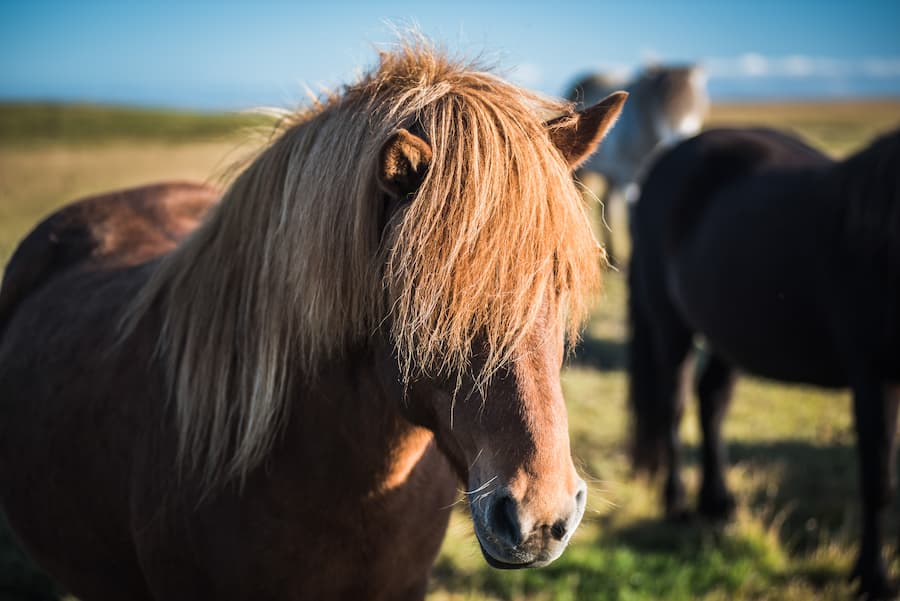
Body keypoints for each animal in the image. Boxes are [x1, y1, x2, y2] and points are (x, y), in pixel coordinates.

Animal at [566, 65, 709, 266]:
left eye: (695, 103)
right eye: (662, 102)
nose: (680, 142)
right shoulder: (629, 177)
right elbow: (631, 219)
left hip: (612, 175)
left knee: (608, 206)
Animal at [628, 126, 900, 599]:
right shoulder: (874, 376)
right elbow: (877, 480)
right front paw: (873, 578)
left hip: (726, 330)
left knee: (712, 399)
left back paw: (717, 503)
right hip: (671, 325)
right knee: (673, 407)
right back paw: (677, 505)